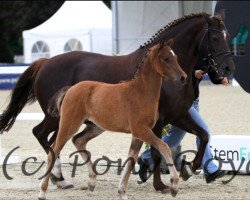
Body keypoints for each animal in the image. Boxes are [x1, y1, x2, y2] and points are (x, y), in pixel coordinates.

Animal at [39, 39, 187, 200]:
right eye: (165, 58)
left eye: (176, 57)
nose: (183, 78)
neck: (141, 92)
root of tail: (70, 89)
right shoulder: (141, 130)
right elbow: (164, 147)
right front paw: (174, 187)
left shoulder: (138, 135)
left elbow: (131, 160)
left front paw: (122, 192)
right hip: (69, 124)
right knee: (53, 151)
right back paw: (42, 192)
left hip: (95, 127)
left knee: (78, 140)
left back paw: (92, 182)